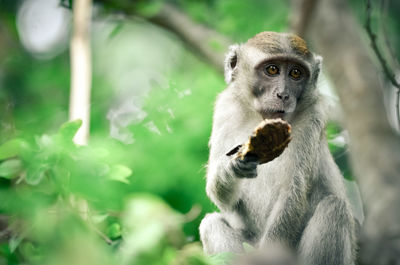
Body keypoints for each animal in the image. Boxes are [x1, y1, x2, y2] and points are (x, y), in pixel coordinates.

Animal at [200, 31, 356, 264]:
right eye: (272, 69)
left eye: (295, 73)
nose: (283, 94)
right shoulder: (226, 108)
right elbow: (222, 198)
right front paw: (232, 166)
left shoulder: (313, 115)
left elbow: (292, 192)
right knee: (211, 224)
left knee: (334, 208)